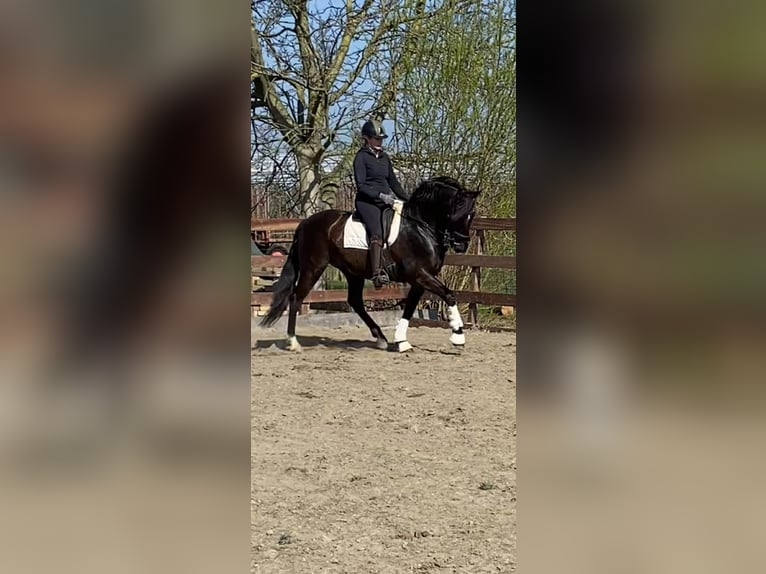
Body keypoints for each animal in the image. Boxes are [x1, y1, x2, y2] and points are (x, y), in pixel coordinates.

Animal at [259, 176, 480, 352]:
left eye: (472, 215)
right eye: (460, 213)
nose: (462, 244)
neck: (419, 227)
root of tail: (305, 223)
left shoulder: (419, 279)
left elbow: (409, 307)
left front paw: (401, 341)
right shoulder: (420, 274)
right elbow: (449, 295)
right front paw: (458, 336)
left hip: (353, 272)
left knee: (355, 301)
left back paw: (380, 338)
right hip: (313, 268)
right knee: (296, 298)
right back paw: (293, 342)